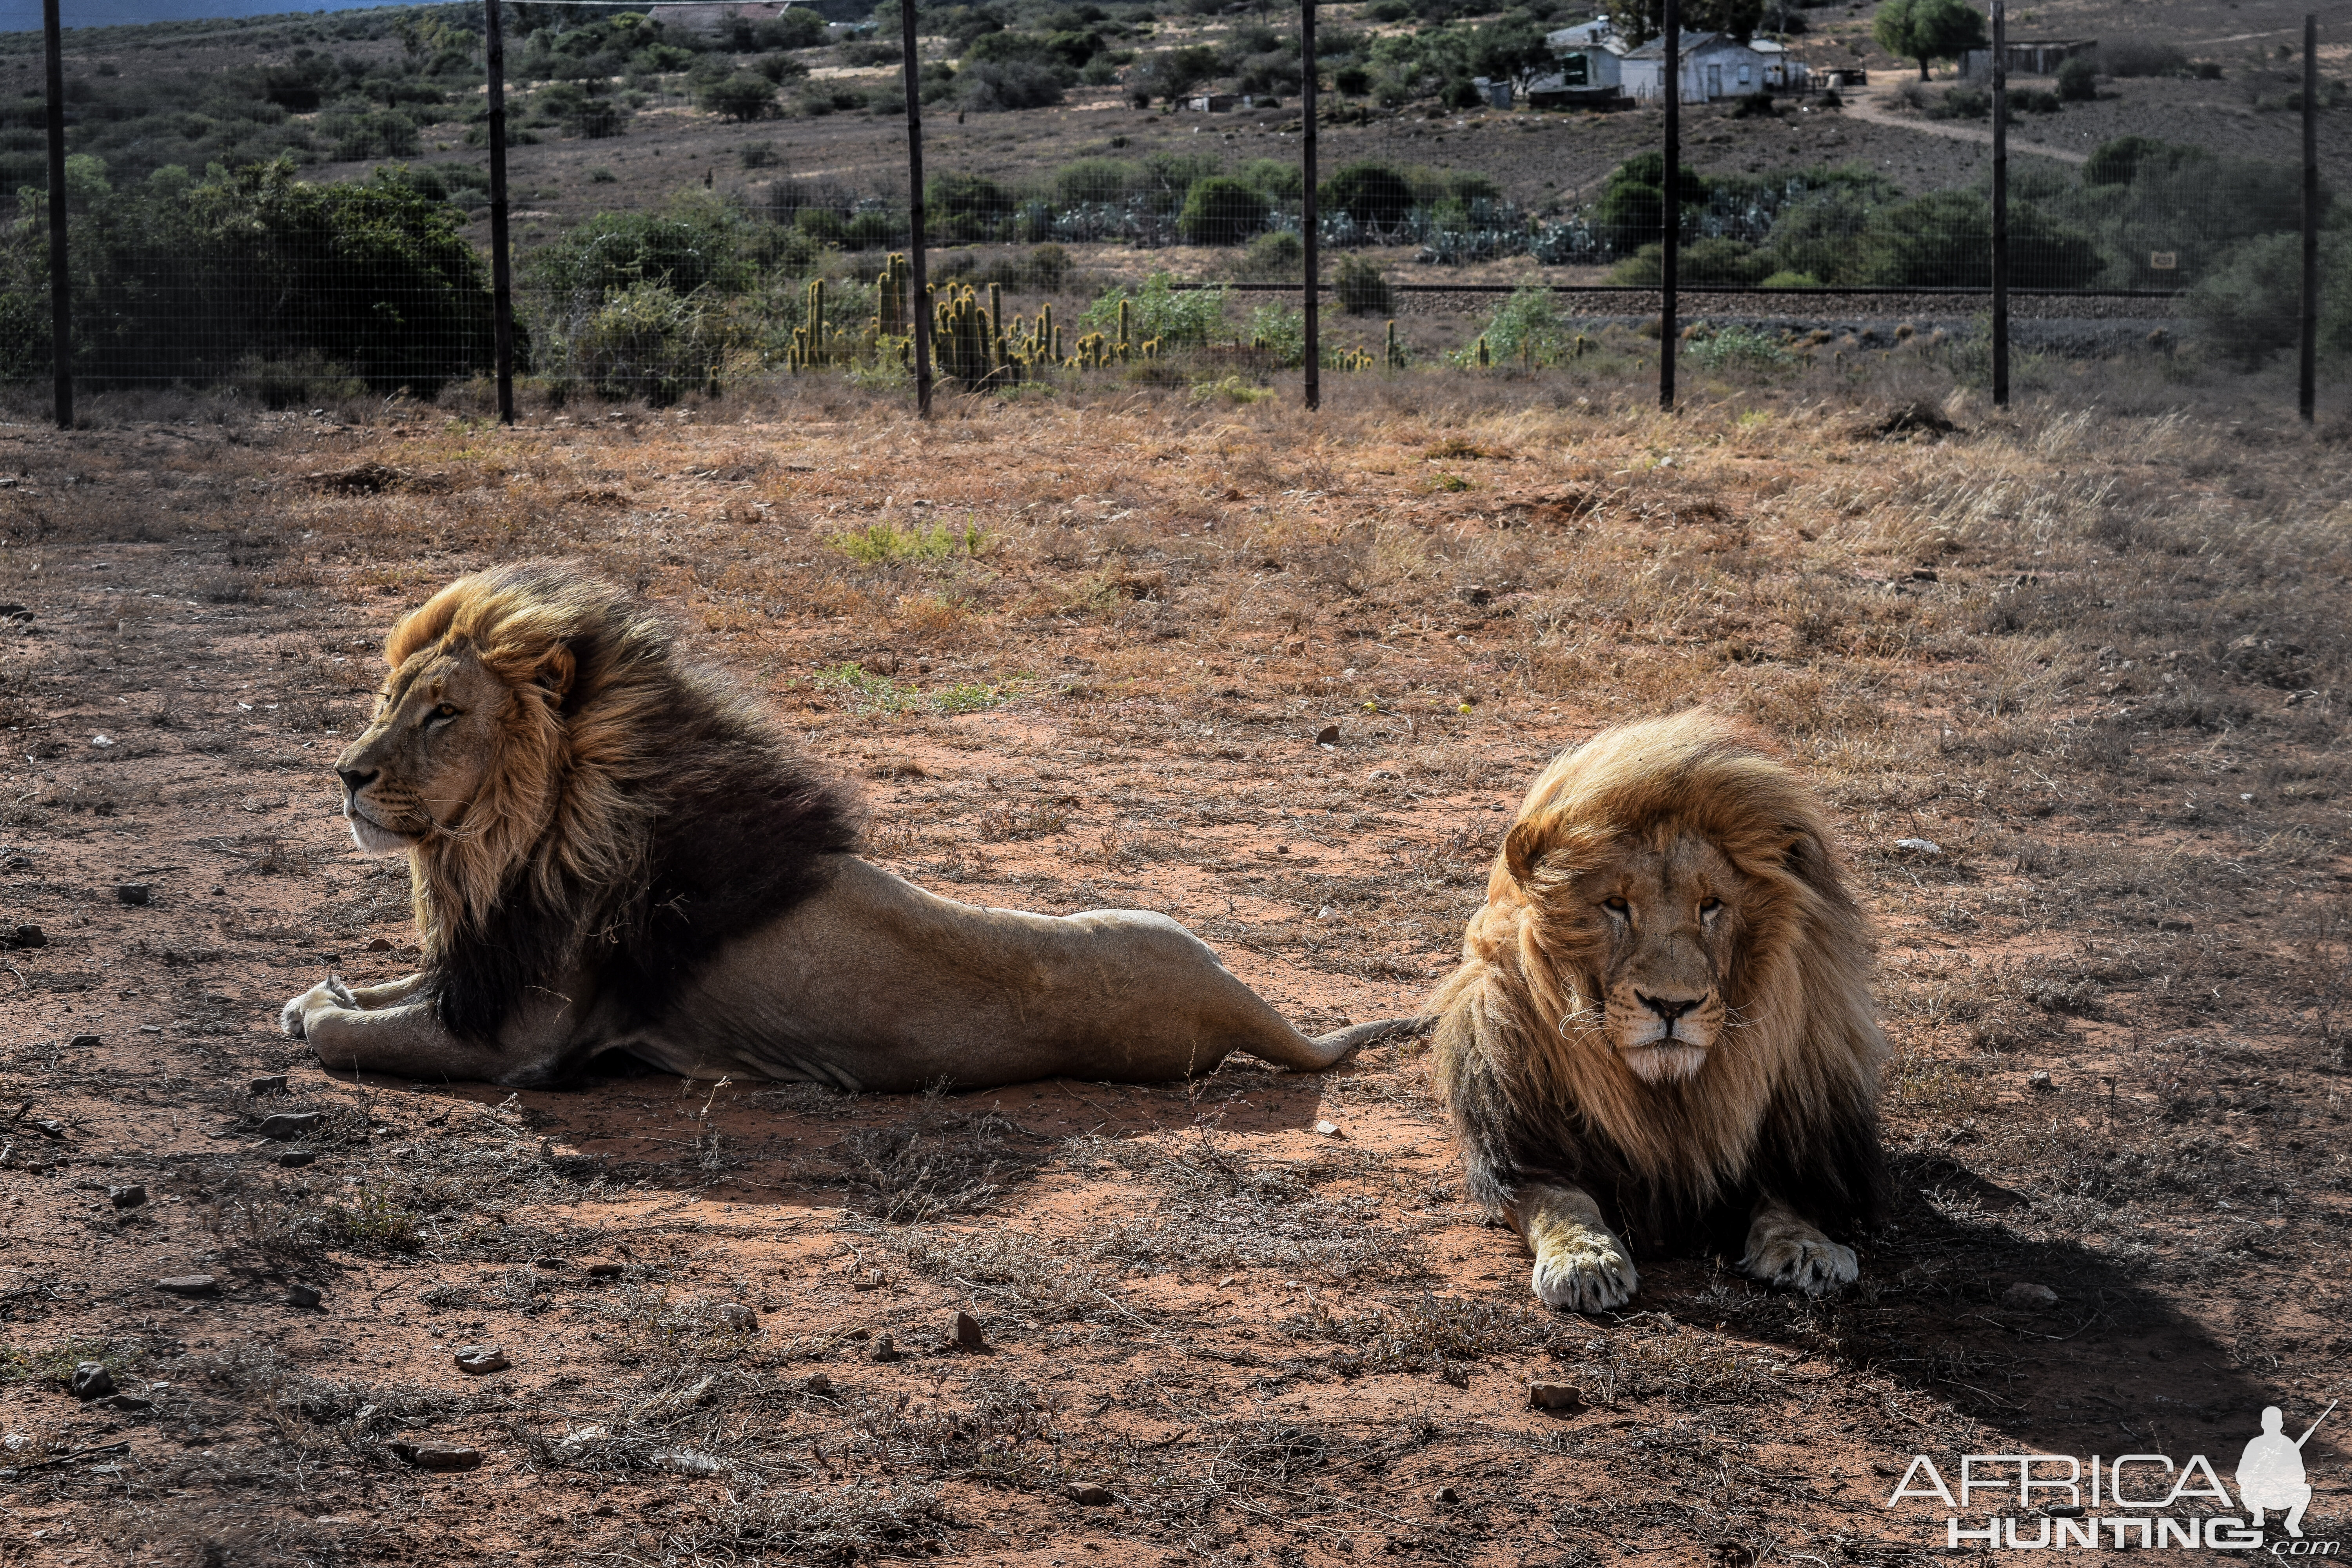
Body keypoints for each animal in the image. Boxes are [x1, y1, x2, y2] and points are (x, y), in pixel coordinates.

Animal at [275, 564, 1411, 1091]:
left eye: (443, 713)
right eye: (390, 698)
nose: (346, 776)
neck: (506, 846)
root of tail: (1242, 1003)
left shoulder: (527, 1036)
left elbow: (360, 1036)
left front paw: (322, 1010)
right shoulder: (486, 960)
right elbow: (396, 985)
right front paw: (324, 987)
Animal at [1421, 710, 1882, 1316]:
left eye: (1711, 905)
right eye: (1616, 904)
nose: (1672, 1005)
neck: (1668, 1096)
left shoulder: (1803, 1133)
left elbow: (1788, 1200)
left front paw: (1807, 1249)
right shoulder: (1520, 1150)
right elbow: (1560, 1202)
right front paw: (1585, 1260)